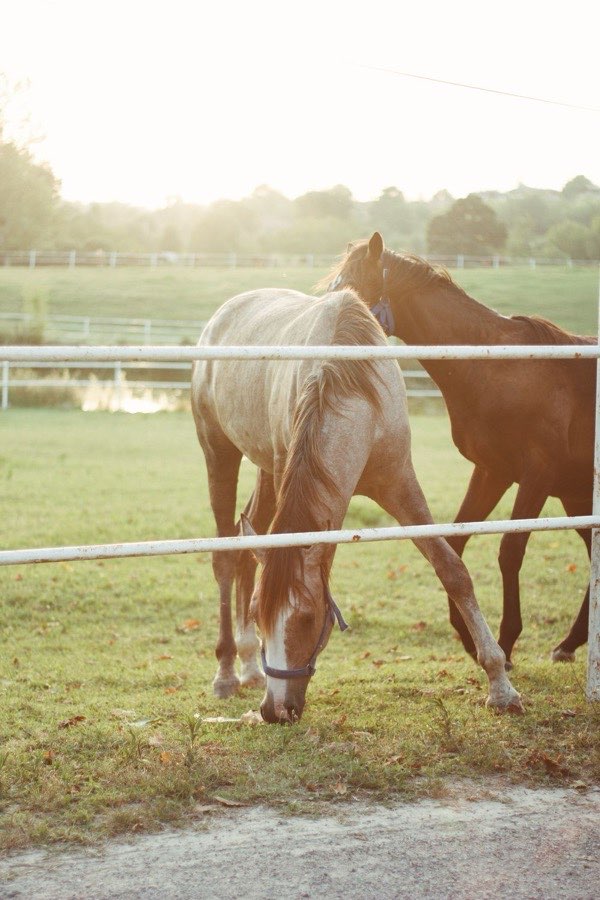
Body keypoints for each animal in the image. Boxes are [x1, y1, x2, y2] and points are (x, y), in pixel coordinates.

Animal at [191, 286, 522, 723]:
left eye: (307, 617)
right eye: (261, 613)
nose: (275, 711)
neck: (353, 391)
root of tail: (222, 314)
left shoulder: (400, 484)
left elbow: (451, 569)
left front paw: (500, 686)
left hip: (262, 468)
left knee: (246, 551)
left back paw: (247, 665)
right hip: (219, 454)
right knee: (226, 557)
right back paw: (227, 671)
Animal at [324, 232, 595, 668]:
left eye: (350, 287)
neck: (494, 367)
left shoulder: (537, 476)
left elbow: (509, 551)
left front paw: (506, 641)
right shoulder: (492, 472)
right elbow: (455, 545)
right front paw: (470, 639)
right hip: (575, 496)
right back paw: (569, 643)